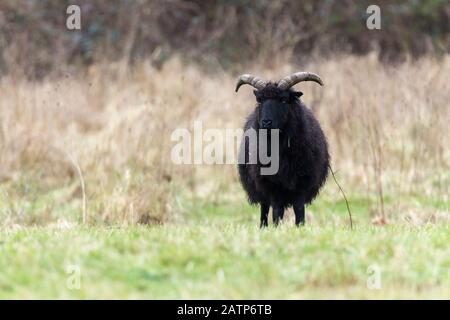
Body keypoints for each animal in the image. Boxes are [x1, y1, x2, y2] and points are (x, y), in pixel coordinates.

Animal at [236, 72, 330, 228]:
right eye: (259, 100)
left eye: (284, 100)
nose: (266, 122)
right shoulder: (272, 186)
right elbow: (276, 211)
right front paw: (275, 228)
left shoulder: (301, 185)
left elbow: (299, 210)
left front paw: (300, 227)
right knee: (264, 209)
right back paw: (263, 227)